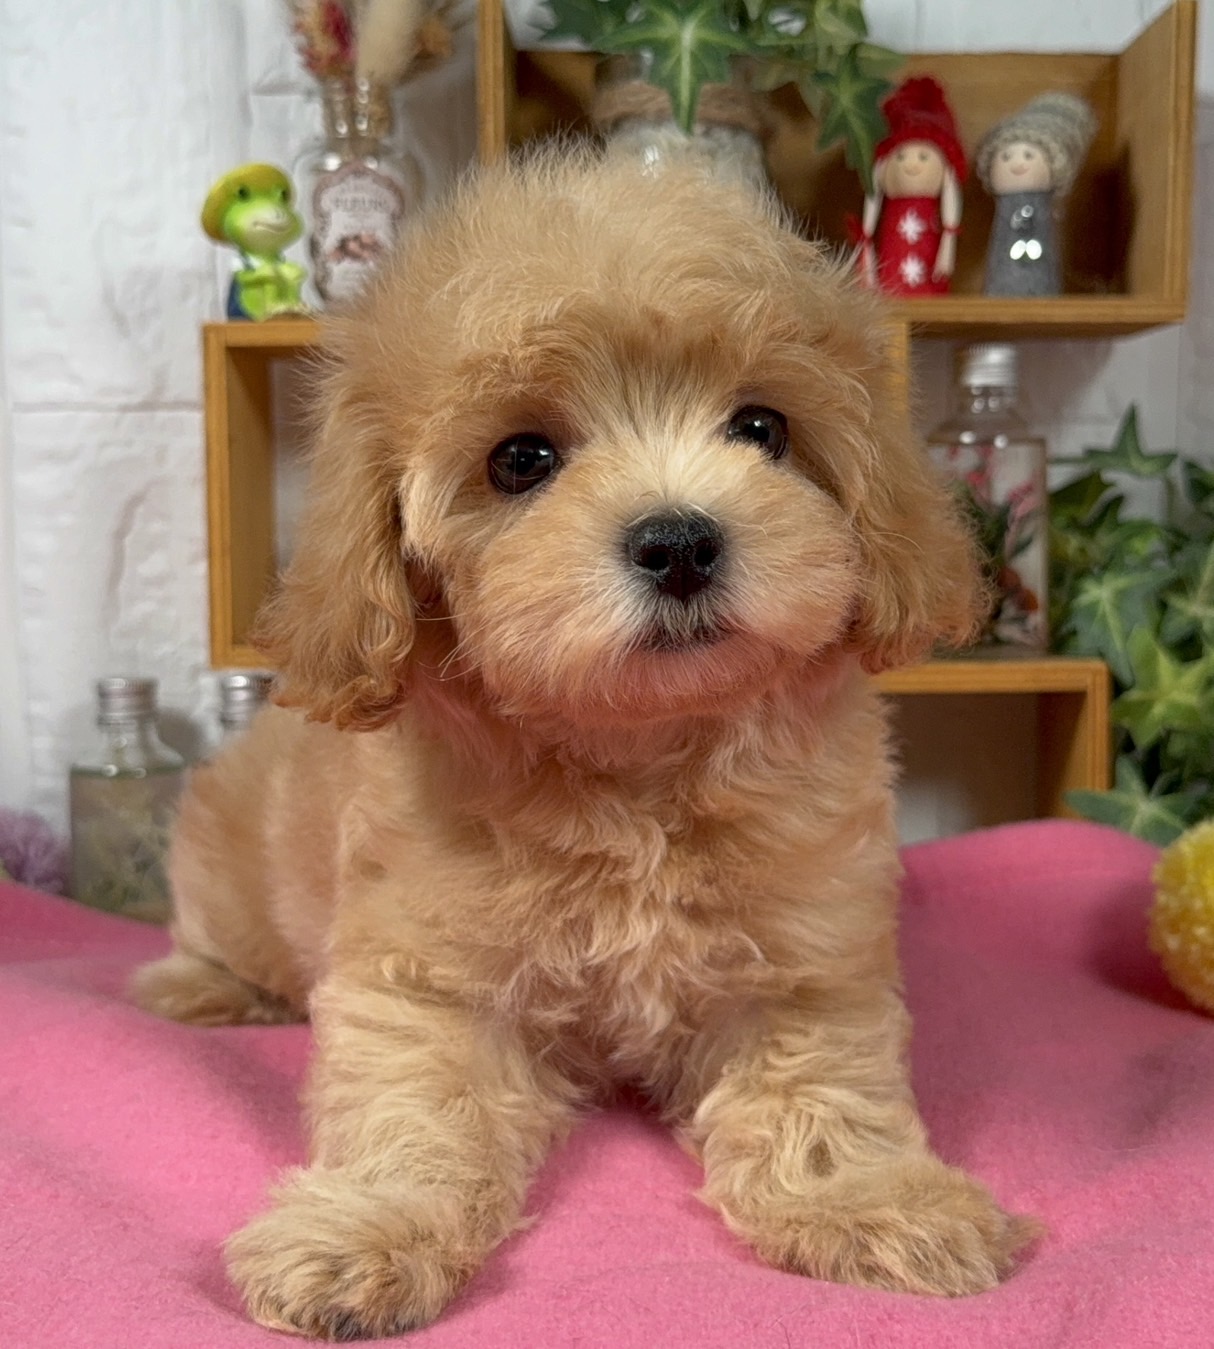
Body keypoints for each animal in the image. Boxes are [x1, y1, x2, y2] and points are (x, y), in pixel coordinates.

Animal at [134, 148, 1036, 1339]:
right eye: (521, 458)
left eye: (762, 428)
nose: (679, 540)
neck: (636, 755)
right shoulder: (426, 973)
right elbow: (412, 1102)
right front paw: (363, 1230)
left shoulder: (805, 956)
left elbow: (820, 1085)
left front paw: (871, 1199)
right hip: (220, 867)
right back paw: (202, 989)